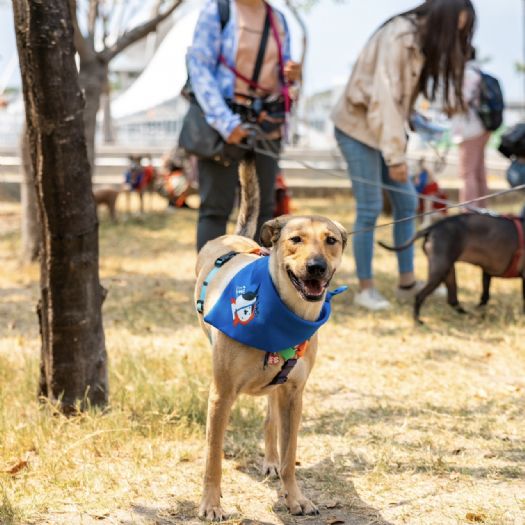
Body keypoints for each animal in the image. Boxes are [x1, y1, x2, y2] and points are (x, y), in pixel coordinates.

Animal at [194, 160, 346, 520]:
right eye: (295, 239)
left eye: (331, 240)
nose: (316, 267)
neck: (284, 314)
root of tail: (234, 237)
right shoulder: (221, 395)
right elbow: (212, 458)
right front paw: (211, 504)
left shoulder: (294, 394)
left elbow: (290, 454)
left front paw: (295, 498)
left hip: (279, 387)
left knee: (270, 420)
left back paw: (272, 462)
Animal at [378, 212, 520, 320]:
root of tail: (432, 228)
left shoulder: (486, 272)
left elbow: (485, 294)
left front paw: (480, 308)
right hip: (440, 272)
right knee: (420, 296)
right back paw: (418, 321)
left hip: (447, 270)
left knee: (452, 299)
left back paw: (466, 314)